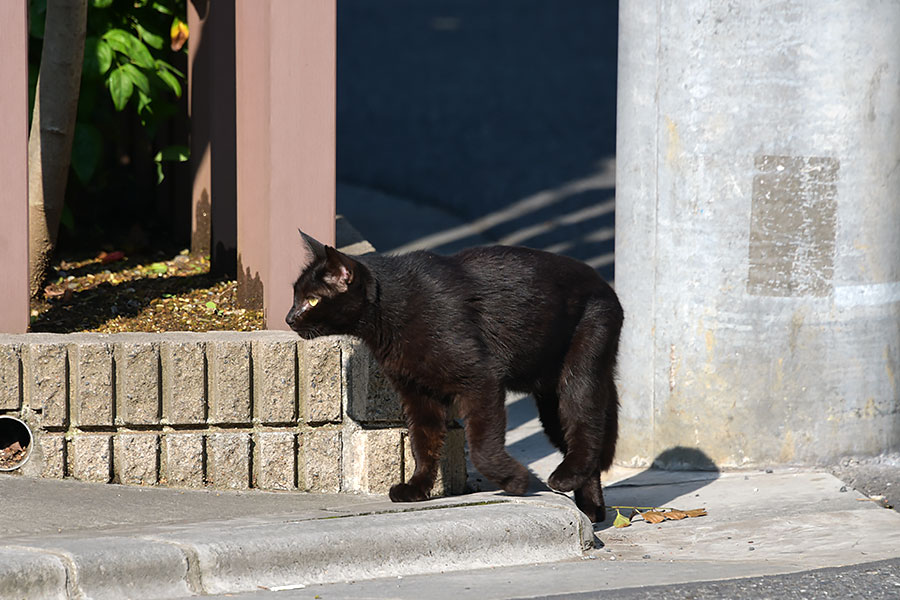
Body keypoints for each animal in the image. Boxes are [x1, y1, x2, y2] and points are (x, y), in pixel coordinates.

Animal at [284, 230, 624, 520]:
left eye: (312, 300)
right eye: (295, 296)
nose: (289, 318)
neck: (394, 308)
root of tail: (604, 283)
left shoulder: (481, 380)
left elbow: (482, 446)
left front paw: (514, 480)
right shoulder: (417, 393)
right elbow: (423, 443)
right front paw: (417, 488)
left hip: (580, 373)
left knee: (586, 429)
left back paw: (567, 481)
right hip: (550, 402)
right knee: (581, 444)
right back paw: (591, 510)